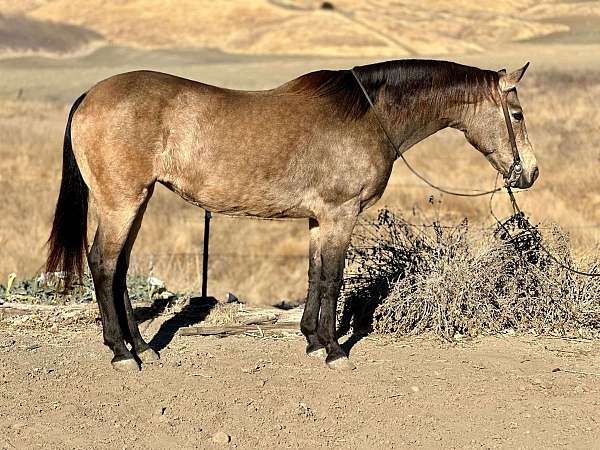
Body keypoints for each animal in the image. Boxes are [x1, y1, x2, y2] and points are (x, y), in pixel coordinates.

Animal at [44, 59, 536, 372]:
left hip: (135, 201)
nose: (529, 172)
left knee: (119, 266)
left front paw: (313, 340)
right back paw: (122, 353)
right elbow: (334, 278)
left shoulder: (320, 219)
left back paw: (142, 346)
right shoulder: (340, 214)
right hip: (122, 202)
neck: (369, 115)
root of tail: (90, 95)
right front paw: (334, 349)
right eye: (516, 113)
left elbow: (316, 275)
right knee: (104, 263)